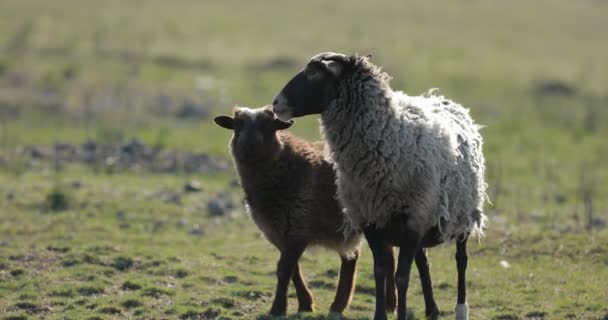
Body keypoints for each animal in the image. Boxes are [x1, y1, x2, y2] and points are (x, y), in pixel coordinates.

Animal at [274, 53, 486, 320]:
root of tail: (442, 99)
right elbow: (381, 271)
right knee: (423, 261)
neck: (389, 138)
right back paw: (431, 310)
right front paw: (380, 315)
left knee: (461, 259)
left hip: (461, 214)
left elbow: (402, 277)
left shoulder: (412, 220)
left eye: (314, 73)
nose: (276, 103)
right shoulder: (372, 218)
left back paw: (461, 309)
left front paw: (401, 314)